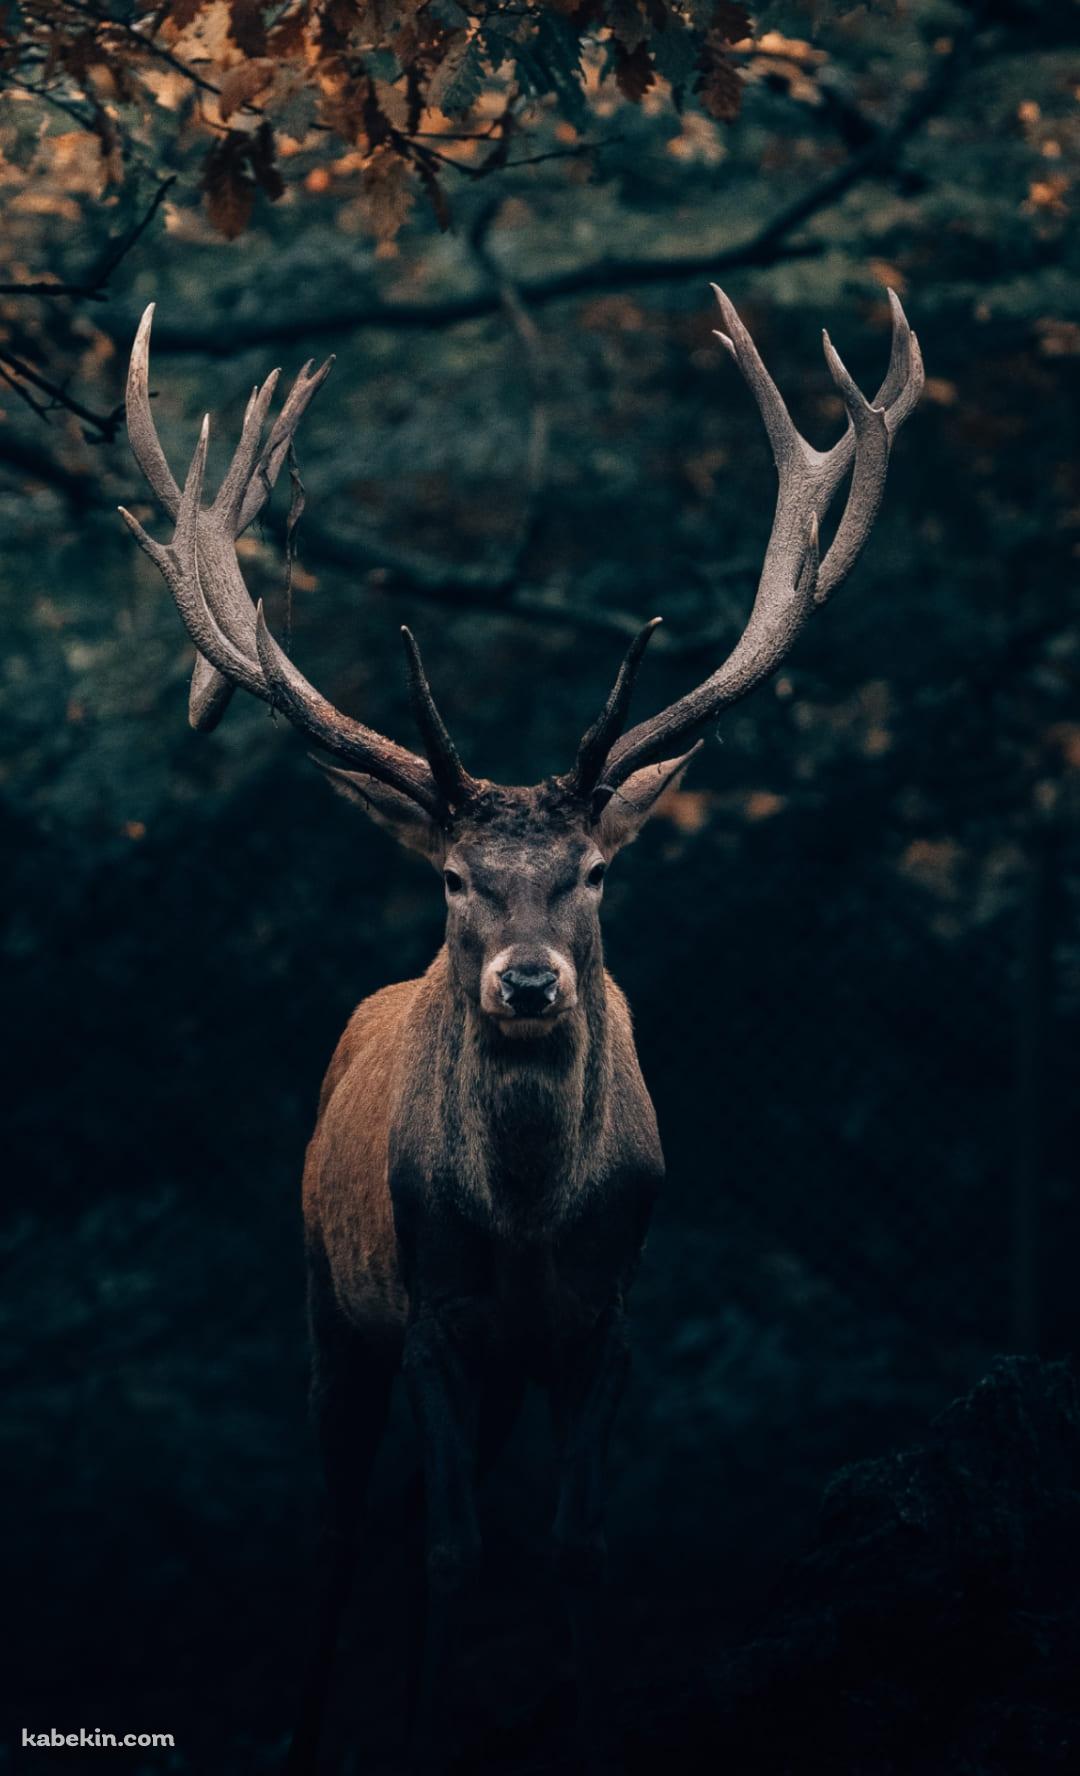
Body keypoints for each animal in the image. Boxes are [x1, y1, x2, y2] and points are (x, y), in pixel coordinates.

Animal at [119, 286, 922, 1771]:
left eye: (594, 871)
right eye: (453, 878)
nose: (531, 984)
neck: (536, 1217)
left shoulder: (608, 1319)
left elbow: (576, 1548)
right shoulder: (437, 1310)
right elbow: (453, 1552)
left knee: (407, 1521)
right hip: (329, 1299)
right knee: (343, 1526)